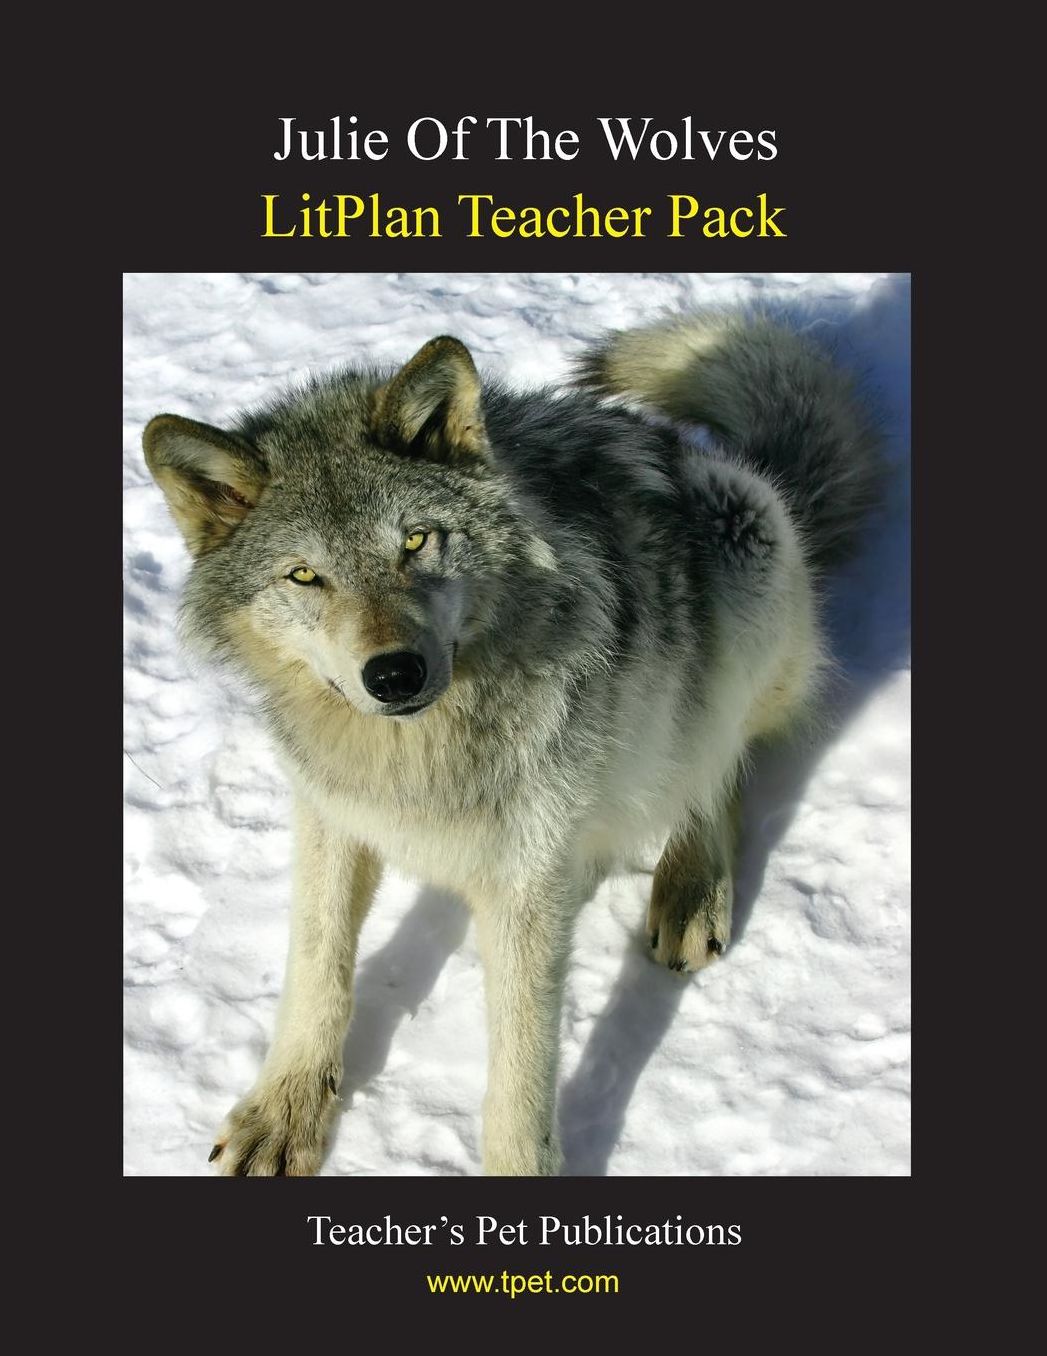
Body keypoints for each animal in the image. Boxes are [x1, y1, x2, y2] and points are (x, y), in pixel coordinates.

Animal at [142, 309, 883, 1176]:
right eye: (304, 577)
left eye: (416, 542)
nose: (392, 672)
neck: (419, 755)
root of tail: (727, 459)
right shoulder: (330, 811)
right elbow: (315, 964)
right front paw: (285, 1111)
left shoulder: (526, 875)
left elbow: (520, 1073)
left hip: (742, 546)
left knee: (715, 763)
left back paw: (692, 886)